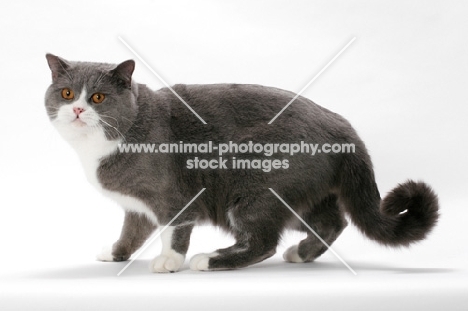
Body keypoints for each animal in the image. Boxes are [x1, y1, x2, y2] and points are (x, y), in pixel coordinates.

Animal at [44, 54, 438, 274]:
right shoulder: (137, 206)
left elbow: (175, 229)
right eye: (66, 93)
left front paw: (169, 261)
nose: (77, 109)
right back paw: (302, 253)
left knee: (264, 242)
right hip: (303, 193)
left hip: (256, 187)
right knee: (332, 221)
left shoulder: (174, 196)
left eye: (98, 97)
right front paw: (115, 254)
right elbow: (132, 231)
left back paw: (211, 259)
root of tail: (345, 129)